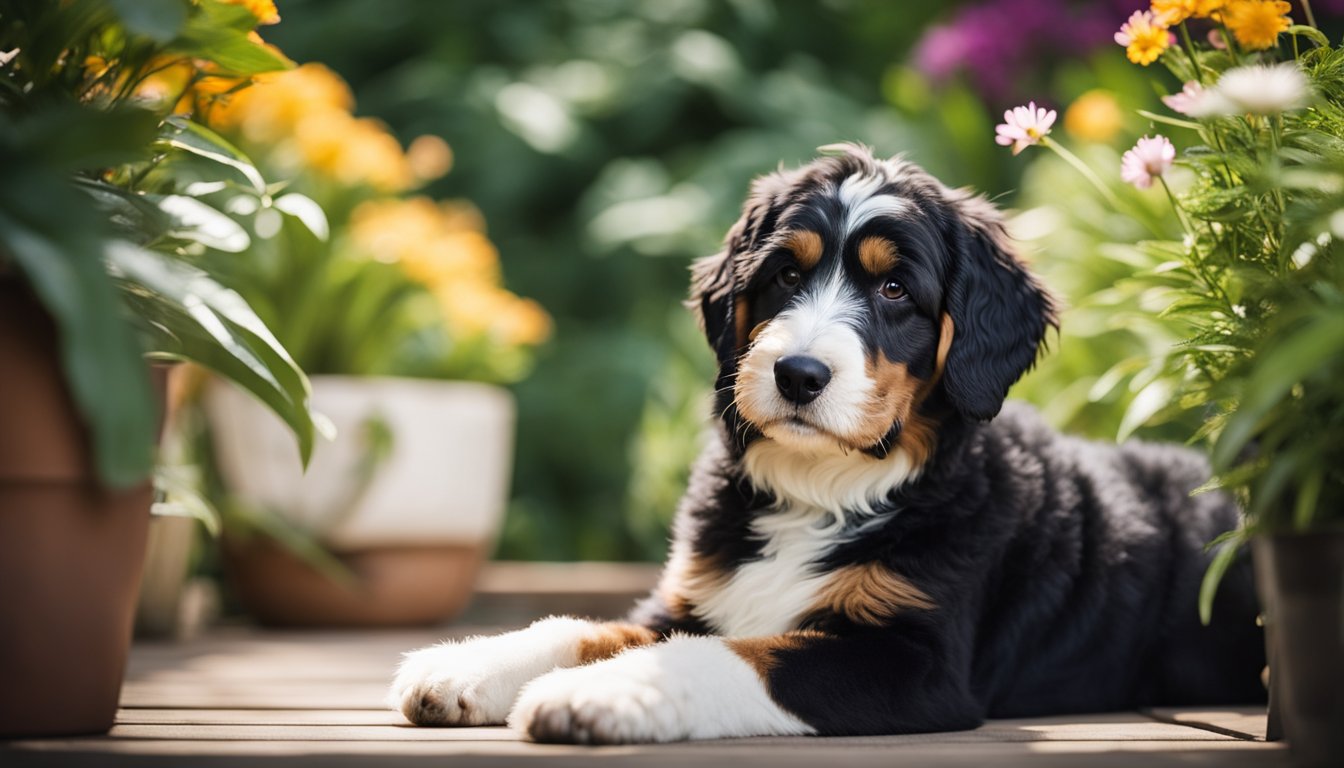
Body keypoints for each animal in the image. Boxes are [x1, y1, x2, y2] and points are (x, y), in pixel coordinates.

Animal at [392, 143, 1268, 747]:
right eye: (784, 276)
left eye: (895, 289)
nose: (799, 374)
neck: (821, 488)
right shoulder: (694, 596)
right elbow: (580, 627)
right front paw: (465, 665)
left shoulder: (912, 661)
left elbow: (741, 656)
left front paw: (606, 695)